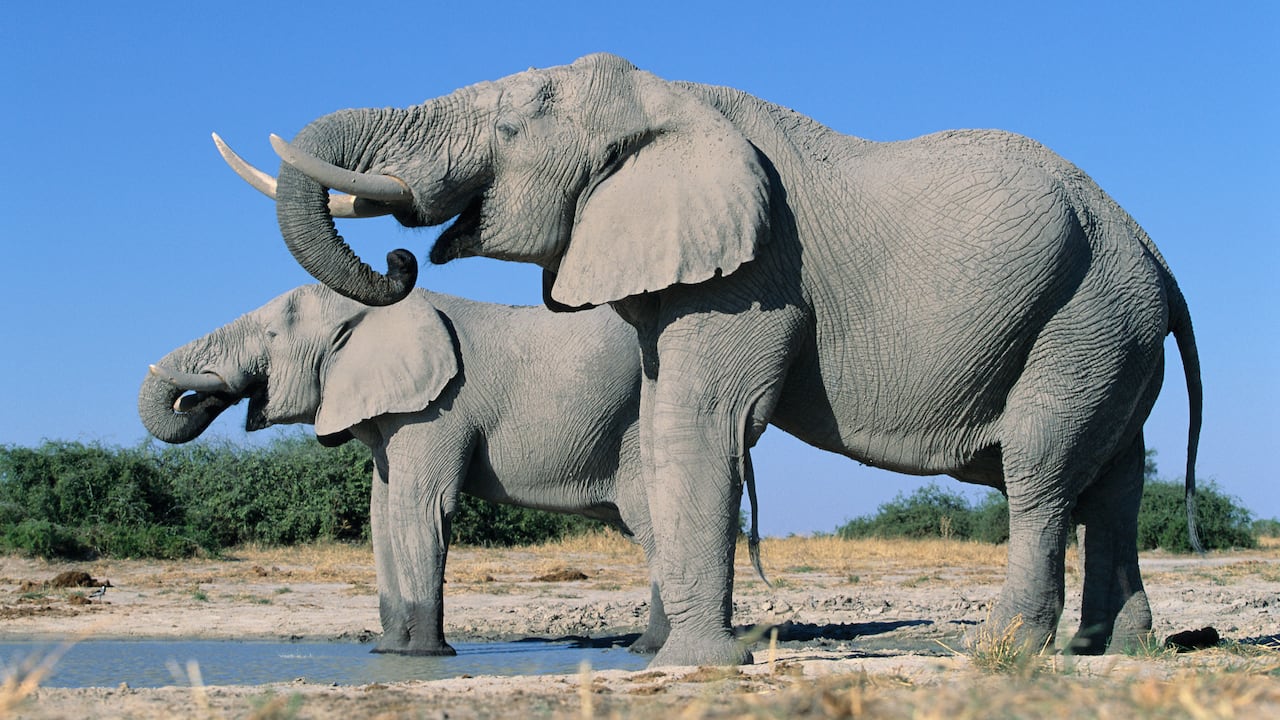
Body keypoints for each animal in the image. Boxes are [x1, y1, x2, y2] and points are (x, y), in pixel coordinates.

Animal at [138, 283, 673, 656]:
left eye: (271, 336)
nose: (201, 392)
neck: (371, 311)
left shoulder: (437, 408)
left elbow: (420, 508)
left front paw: (426, 655)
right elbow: (382, 517)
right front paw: (388, 652)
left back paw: (648, 649)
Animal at [226, 52, 1203, 666]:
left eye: (507, 128)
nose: (401, 263)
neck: (671, 95)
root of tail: (1157, 256)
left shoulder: (755, 269)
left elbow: (699, 421)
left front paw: (698, 664)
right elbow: (667, 420)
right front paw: (690, 657)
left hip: (1082, 318)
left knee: (1042, 475)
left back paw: (1001, 650)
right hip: (1109, 332)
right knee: (1113, 481)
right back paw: (1113, 651)